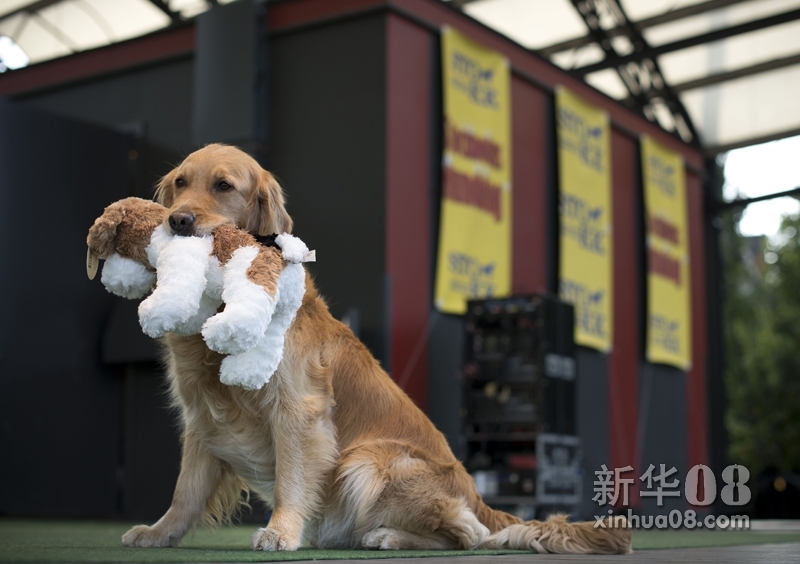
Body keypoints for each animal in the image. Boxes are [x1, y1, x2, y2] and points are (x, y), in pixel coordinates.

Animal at [120, 143, 632, 552]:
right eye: (181, 183)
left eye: (224, 185)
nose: (178, 220)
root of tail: (479, 496)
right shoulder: (203, 417)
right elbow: (186, 490)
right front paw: (160, 533)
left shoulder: (298, 411)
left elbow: (290, 478)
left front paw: (281, 531)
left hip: (368, 461)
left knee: (468, 534)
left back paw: (387, 536)